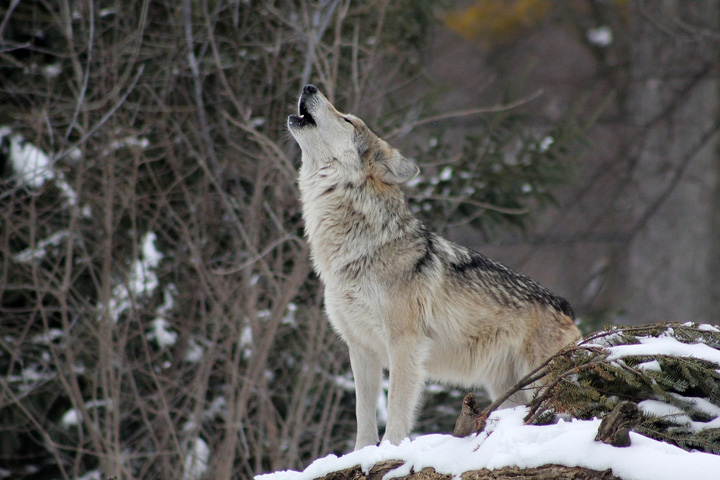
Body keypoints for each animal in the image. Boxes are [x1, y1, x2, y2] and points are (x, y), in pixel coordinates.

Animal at [286, 85, 580, 450]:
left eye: (347, 119)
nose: (309, 87)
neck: (359, 249)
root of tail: (566, 307)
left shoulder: (405, 344)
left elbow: (396, 409)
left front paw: (389, 450)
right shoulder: (361, 349)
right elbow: (363, 417)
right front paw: (361, 454)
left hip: (539, 382)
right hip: (507, 390)